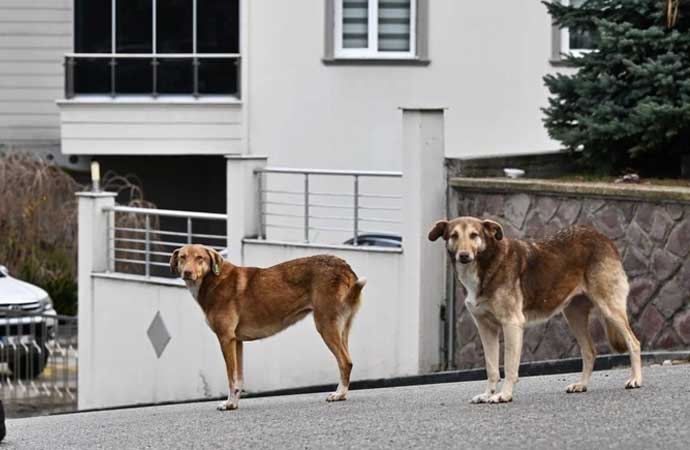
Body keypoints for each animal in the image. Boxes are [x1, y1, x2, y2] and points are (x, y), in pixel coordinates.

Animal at [168, 244, 366, 410]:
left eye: (200, 258)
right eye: (183, 257)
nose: (187, 273)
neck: (212, 281)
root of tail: (344, 266)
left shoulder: (225, 339)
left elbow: (231, 378)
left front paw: (229, 404)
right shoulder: (236, 342)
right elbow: (239, 379)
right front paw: (234, 404)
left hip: (325, 325)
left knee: (345, 362)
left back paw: (339, 394)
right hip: (341, 329)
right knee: (347, 361)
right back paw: (343, 394)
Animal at [428, 216, 644, 402]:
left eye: (474, 235)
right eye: (454, 235)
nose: (464, 256)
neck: (486, 264)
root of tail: (602, 236)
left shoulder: (512, 324)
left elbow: (509, 367)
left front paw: (504, 395)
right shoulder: (485, 329)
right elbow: (491, 368)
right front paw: (488, 394)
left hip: (609, 308)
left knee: (634, 342)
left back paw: (636, 380)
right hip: (573, 315)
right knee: (590, 351)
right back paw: (581, 385)